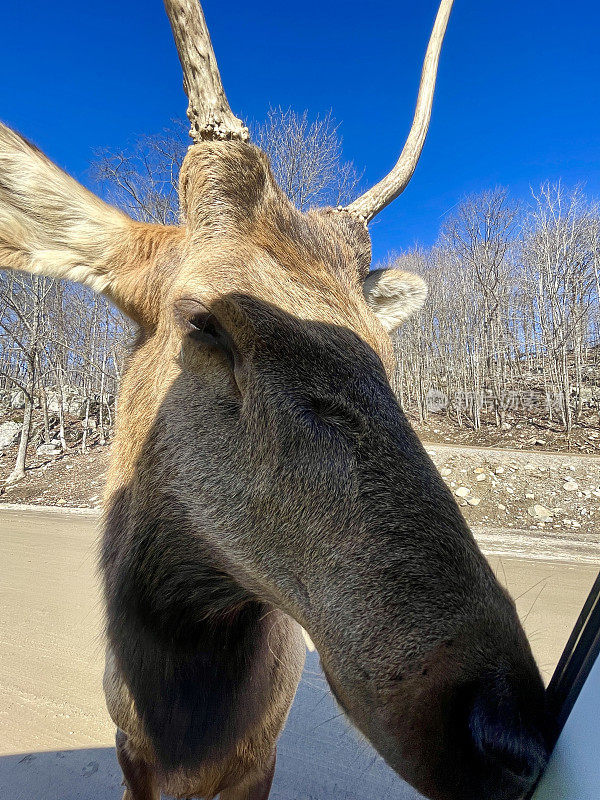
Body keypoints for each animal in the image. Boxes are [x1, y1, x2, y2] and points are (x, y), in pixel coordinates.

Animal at [1, 0, 552, 796]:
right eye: (203, 318)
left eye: (383, 351)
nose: (509, 729)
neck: (184, 734)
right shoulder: (129, 754)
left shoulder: (261, 754)